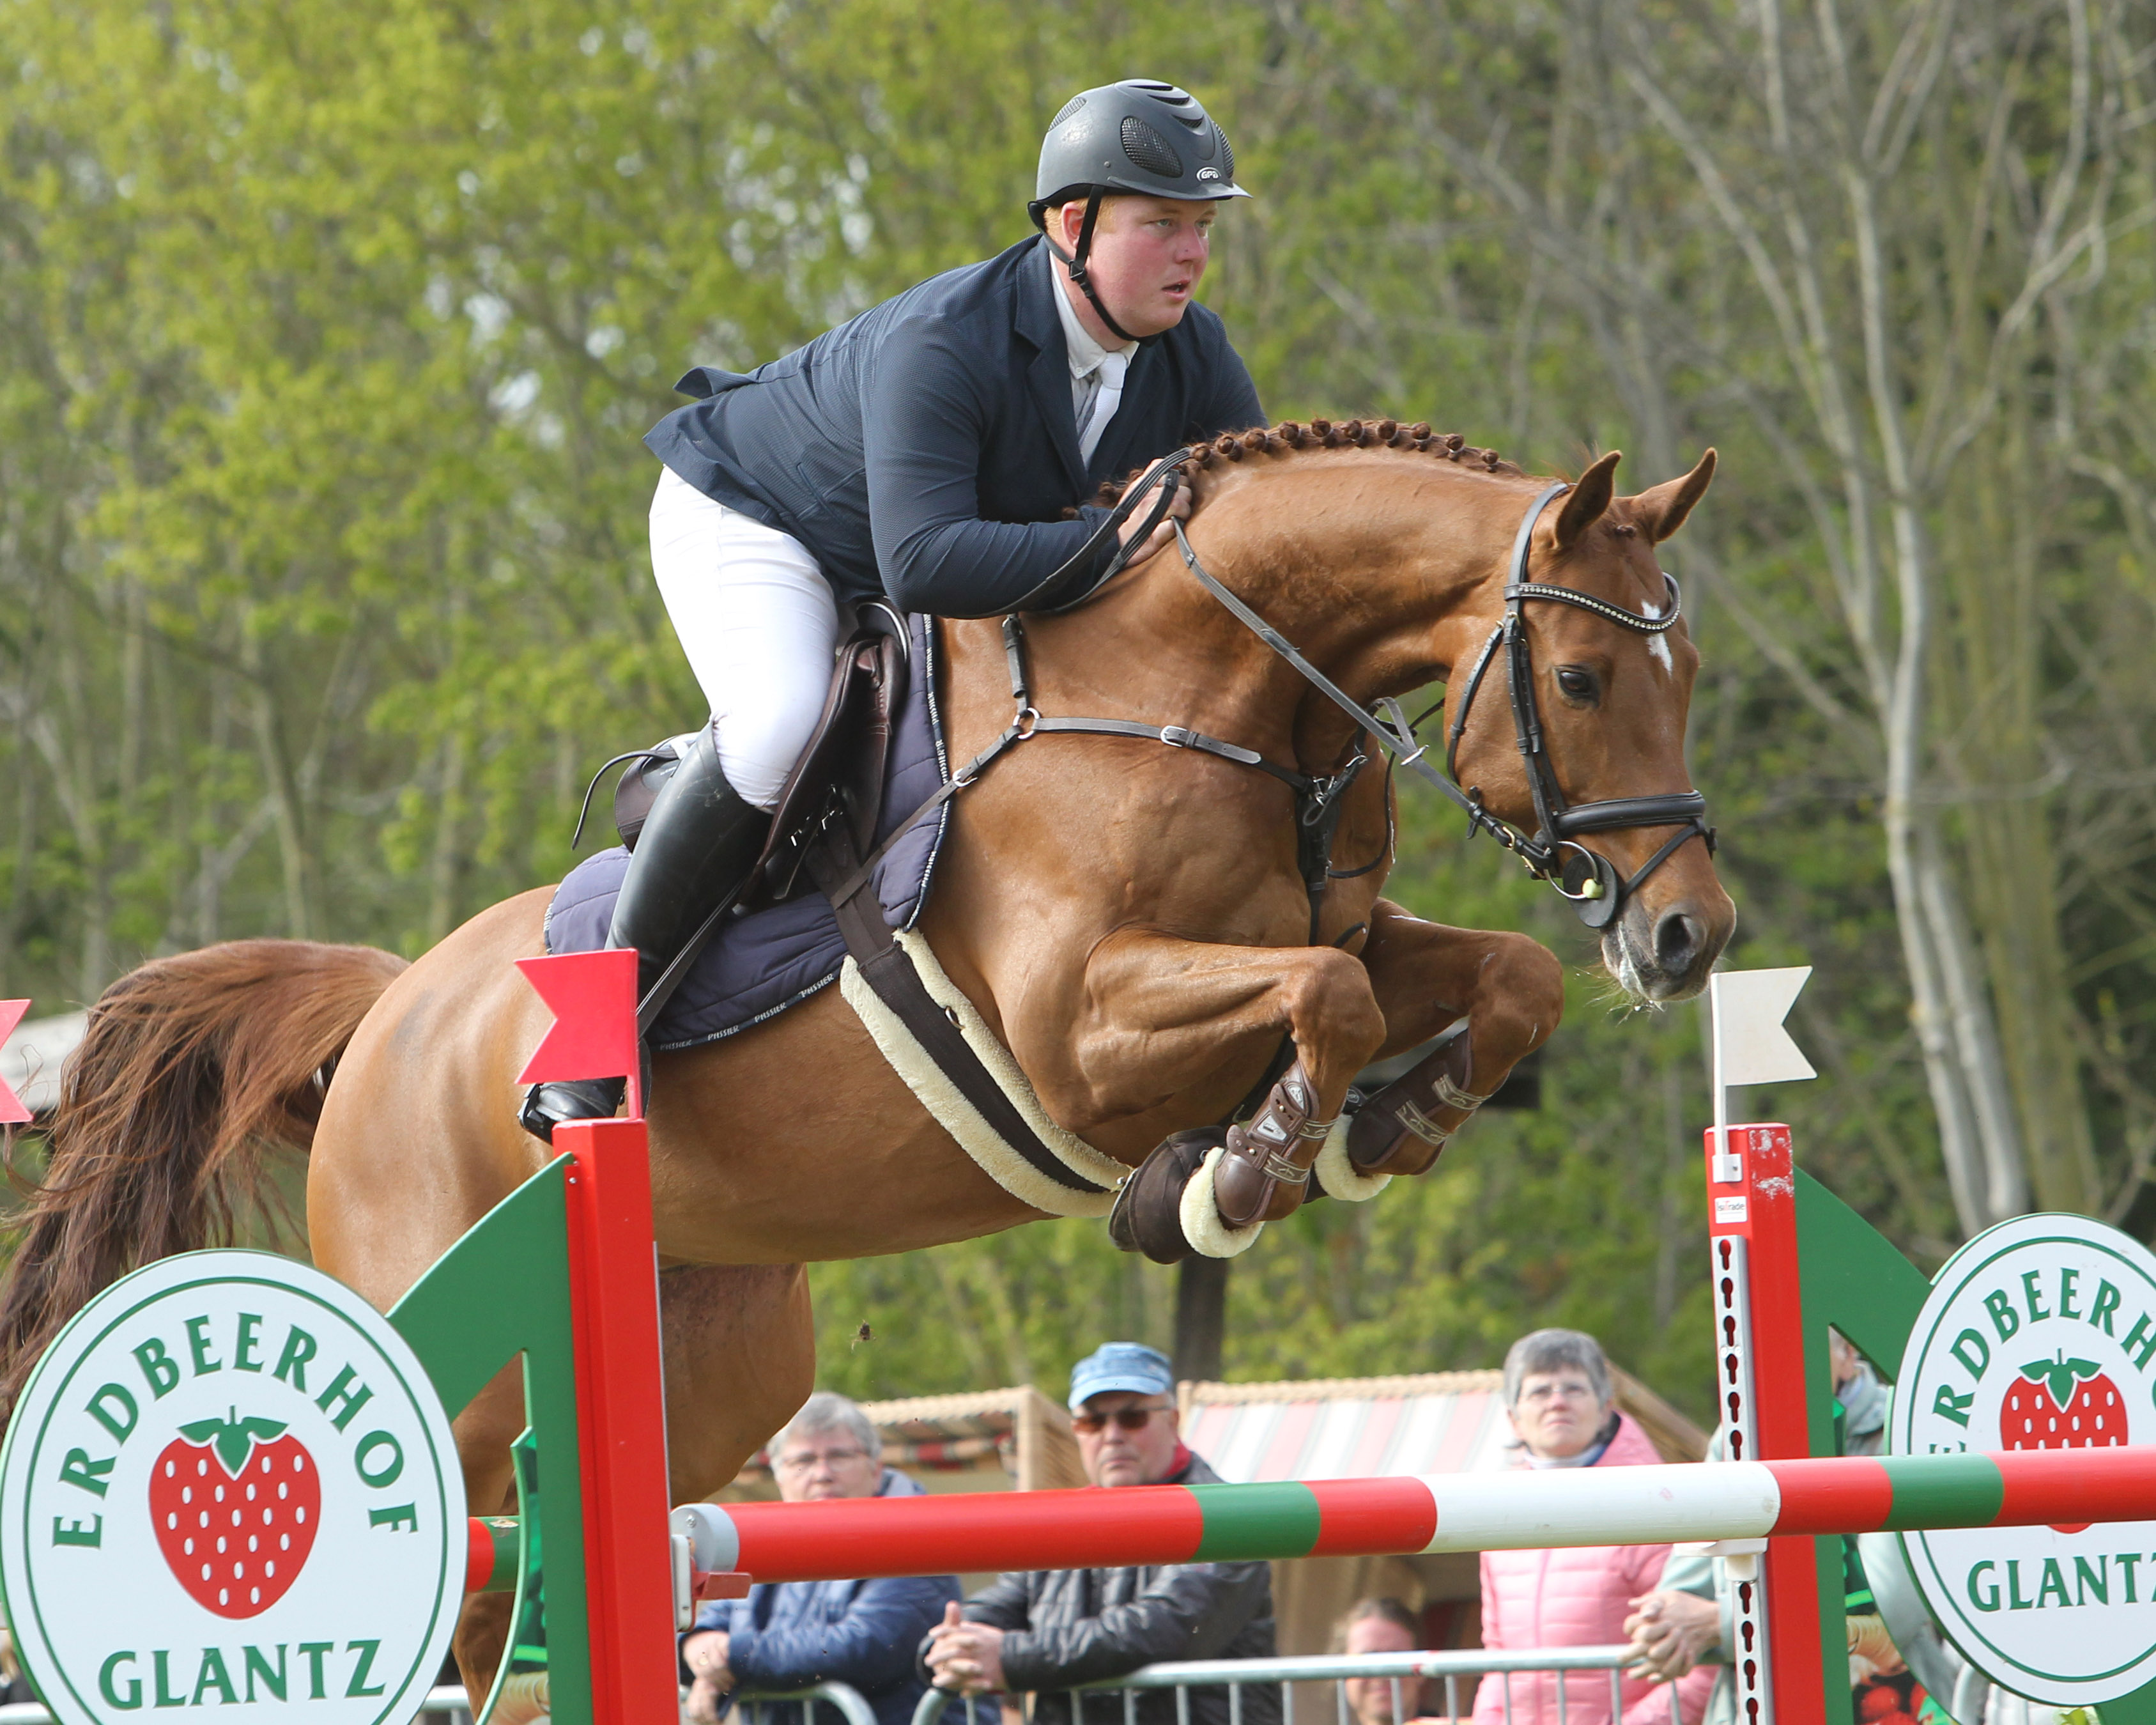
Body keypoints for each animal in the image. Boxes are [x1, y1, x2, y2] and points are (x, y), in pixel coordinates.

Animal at [0, 424, 1733, 1690]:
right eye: (1580, 677)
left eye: (1688, 675)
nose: (1689, 936)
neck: (1204, 696)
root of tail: (384, 1011)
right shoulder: (1080, 1027)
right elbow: (1330, 1000)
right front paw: (1232, 1176)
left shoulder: (1347, 938)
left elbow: (1492, 978)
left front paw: (1389, 1124)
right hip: (460, 1360)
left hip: (712, 1367)